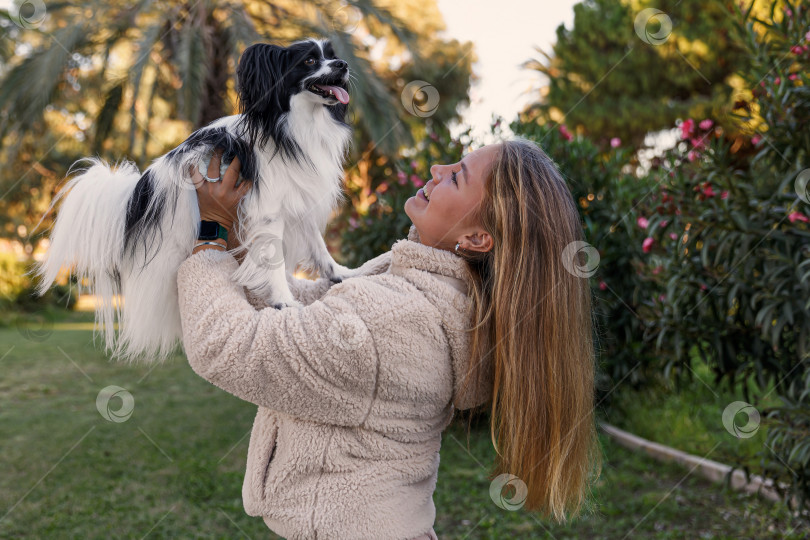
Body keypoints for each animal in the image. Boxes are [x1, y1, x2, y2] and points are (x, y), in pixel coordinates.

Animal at [32, 38, 360, 362]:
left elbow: (318, 245)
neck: (298, 124)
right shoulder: (269, 210)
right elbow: (274, 261)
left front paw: (342, 274)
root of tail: (144, 188)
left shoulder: (298, 200)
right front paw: (284, 302)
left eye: (332, 56)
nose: (343, 64)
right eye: (309, 61)